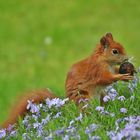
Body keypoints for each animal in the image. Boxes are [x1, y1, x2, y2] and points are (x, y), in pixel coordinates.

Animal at [1, 32, 133, 129]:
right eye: (115, 51)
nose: (127, 58)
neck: (103, 60)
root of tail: (68, 105)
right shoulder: (97, 71)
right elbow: (106, 78)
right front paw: (122, 77)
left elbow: (114, 71)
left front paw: (128, 71)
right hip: (84, 99)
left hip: (102, 95)